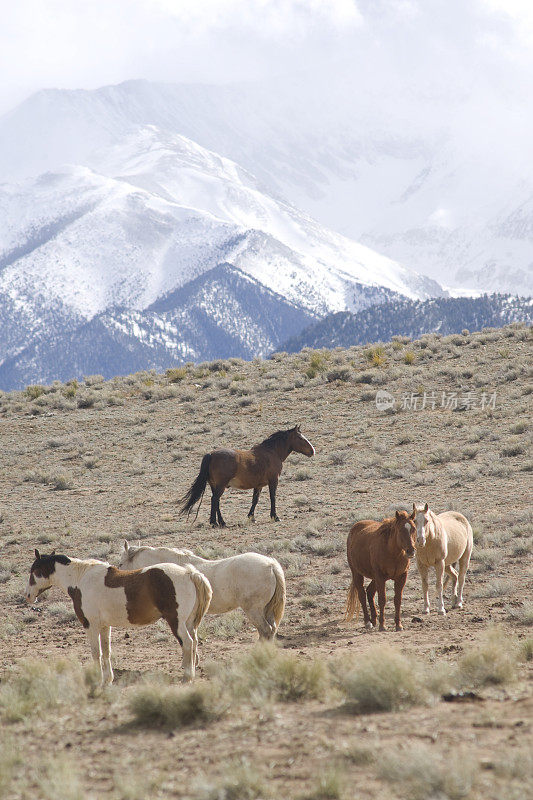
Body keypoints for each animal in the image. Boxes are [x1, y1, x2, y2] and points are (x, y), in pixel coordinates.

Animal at [24, 552, 212, 680]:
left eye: (35, 571)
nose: (28, 595)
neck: (81, 579)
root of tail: (189, 573)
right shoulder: (104, 626)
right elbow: (106, 651)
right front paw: (108, 679)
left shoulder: (90, 625)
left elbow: (96, 653)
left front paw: (99, 679)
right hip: (188, 623)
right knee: (194, 643)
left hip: (176, 622)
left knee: (187, 643)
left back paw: (187, 676)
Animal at [121, 540, 286, 640]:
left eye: (121, 563)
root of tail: (271, 564)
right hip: (266, 609)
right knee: (270, 630)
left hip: (254, 610)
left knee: (265, 630)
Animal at [181, 422, 314, 528]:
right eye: (300, 437)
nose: (312, 451)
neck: (272, 452)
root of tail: (211, 454)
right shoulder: (273, 481)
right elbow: (273, 497)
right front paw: (275, 517)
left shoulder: (258, 485)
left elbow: (255, 500)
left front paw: (251, 517)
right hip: (220, 486)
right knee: (214, 500)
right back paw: (214, 523)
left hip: (215, 486)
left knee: (216, 501)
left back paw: (222, 522)